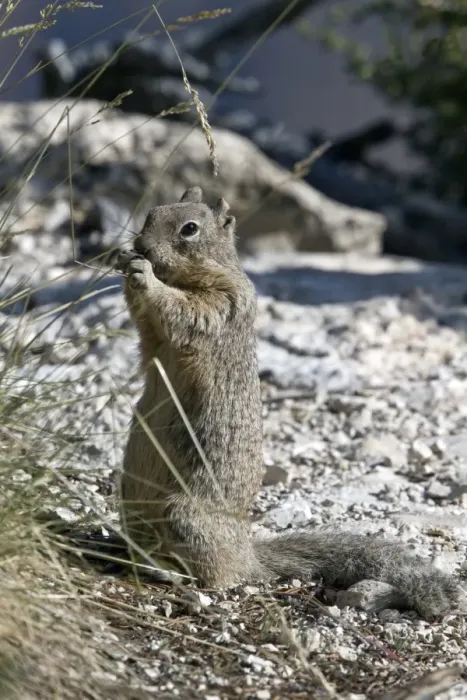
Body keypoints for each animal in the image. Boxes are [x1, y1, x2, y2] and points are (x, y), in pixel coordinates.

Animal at [116, 186, 462, 621]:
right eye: (152, 213)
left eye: (189, 229)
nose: (141, 246)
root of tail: (246, 554)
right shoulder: (156, 336)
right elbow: (147, 325)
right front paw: (123, 260)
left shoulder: (222, 304)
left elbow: (184, 312)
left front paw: (143, 274)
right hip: (130, 499)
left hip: (183, 516)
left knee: (220, 576)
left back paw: (178, 578)